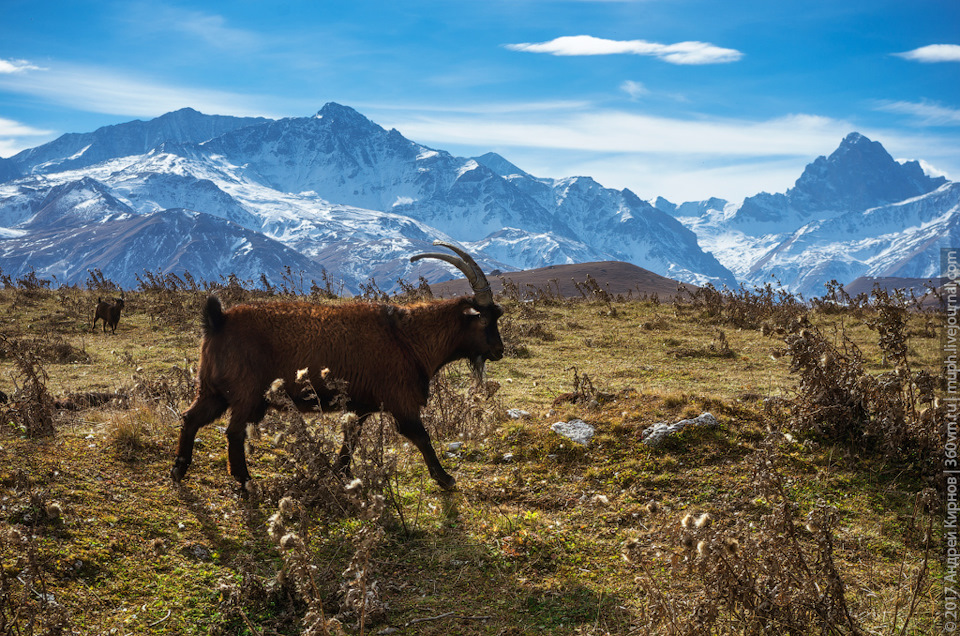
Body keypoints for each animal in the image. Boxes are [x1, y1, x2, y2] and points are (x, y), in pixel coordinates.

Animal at [172, 241, 506, 490]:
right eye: (485, 319)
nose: (499, 351)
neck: (408, 337)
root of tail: (219, 320)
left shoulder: (361, 404)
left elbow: (351, 438)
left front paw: (340, 473)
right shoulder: (401, 400)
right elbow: (420, 436)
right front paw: (445, 479)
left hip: (213, 390)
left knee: (191, 418)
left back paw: (179, 470)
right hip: (246, 394)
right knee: (234, 431)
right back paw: (243, 481)